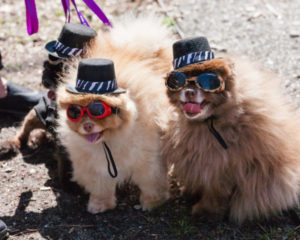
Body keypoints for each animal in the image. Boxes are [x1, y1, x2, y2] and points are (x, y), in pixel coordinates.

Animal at [55, 16, 176, 214]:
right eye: (75, 112)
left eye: (98, 110)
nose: (87, 125)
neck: (109, 142)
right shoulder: (94, 168)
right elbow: (100, 188)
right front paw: (99, 206)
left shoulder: (148, 161)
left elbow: (151, 183)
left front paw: (152, 203)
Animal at [163, 36, 300, 223]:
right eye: (178, 81)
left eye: (208, 82)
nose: (190, 91)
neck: (208, 122)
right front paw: (189, 191)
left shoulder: (223, 168)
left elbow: (215, 193)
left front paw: (206, 212)